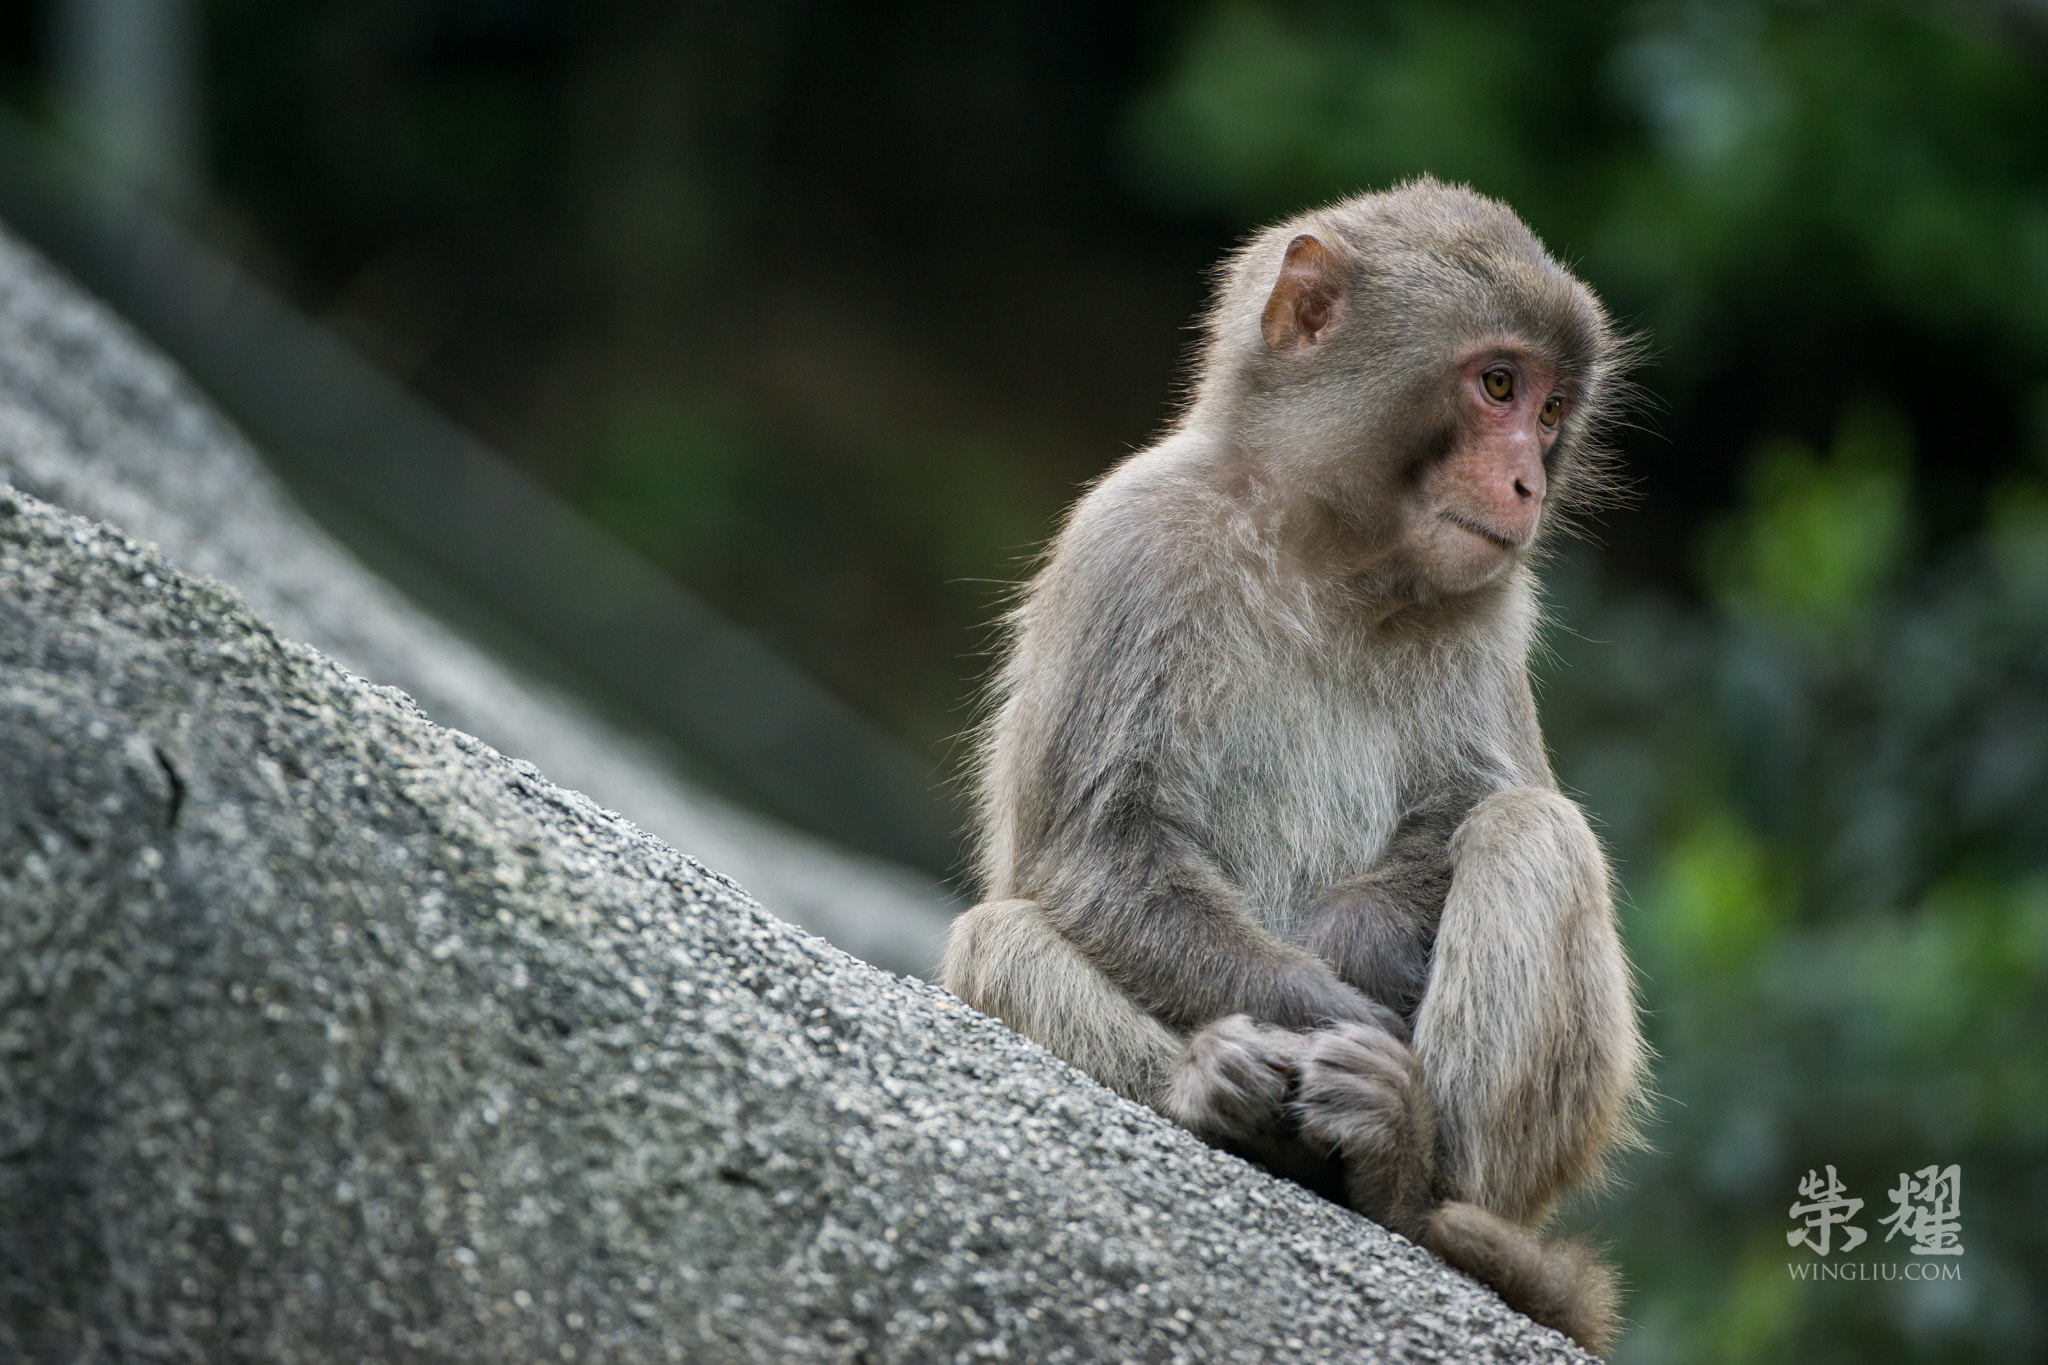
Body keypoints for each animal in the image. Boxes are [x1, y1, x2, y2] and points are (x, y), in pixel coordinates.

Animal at [942, 179, 1646, 1358]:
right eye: (1497, 384)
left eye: (1552, 413)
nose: (1526, 483)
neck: (1328, 551)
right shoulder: (1130, 540)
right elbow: (1096, 846)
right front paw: (1316, 1012)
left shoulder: (1493, 609)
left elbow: (1480, 802)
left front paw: (1349, 944)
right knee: (992, 941)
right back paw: (1216, 1091)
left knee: (1531, 832)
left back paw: (1405, 1173)